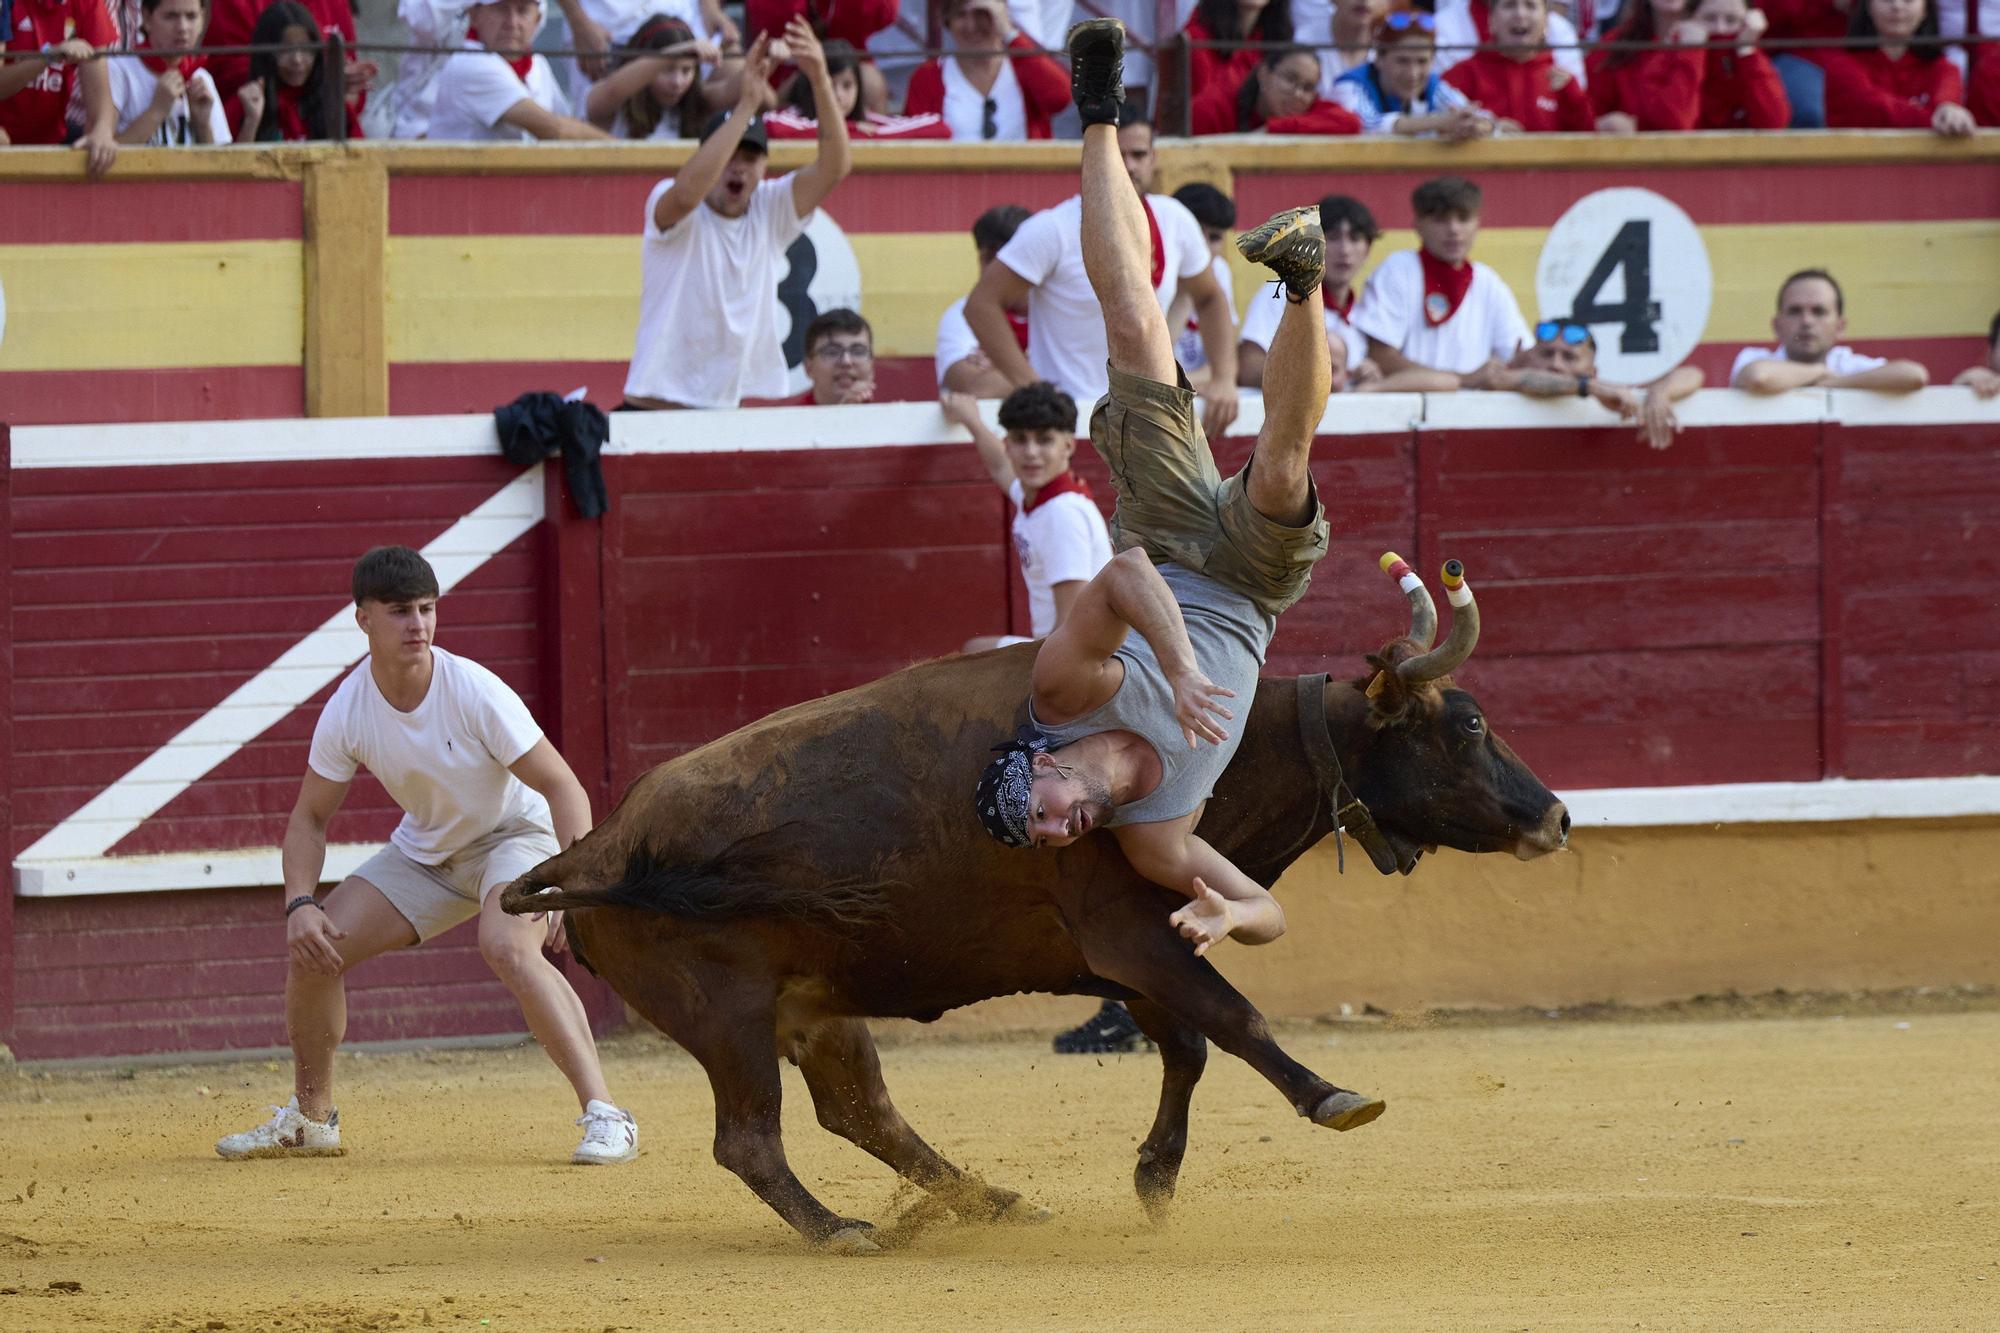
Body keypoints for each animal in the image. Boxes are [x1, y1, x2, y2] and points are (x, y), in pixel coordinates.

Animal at [501, 555, 1568, 1253]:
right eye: (1470, 725)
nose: (1556, 817)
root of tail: (595, 843)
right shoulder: (1130, 937)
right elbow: (1234, 1019)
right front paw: (1330, 1096)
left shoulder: (1130, 956)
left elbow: (1189, 1044)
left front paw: (1155, 1176)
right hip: (724, 1014)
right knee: (750, 1139)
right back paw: (842, 1228)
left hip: (819, 1006)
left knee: (862, 1113)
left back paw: (994, 1201)